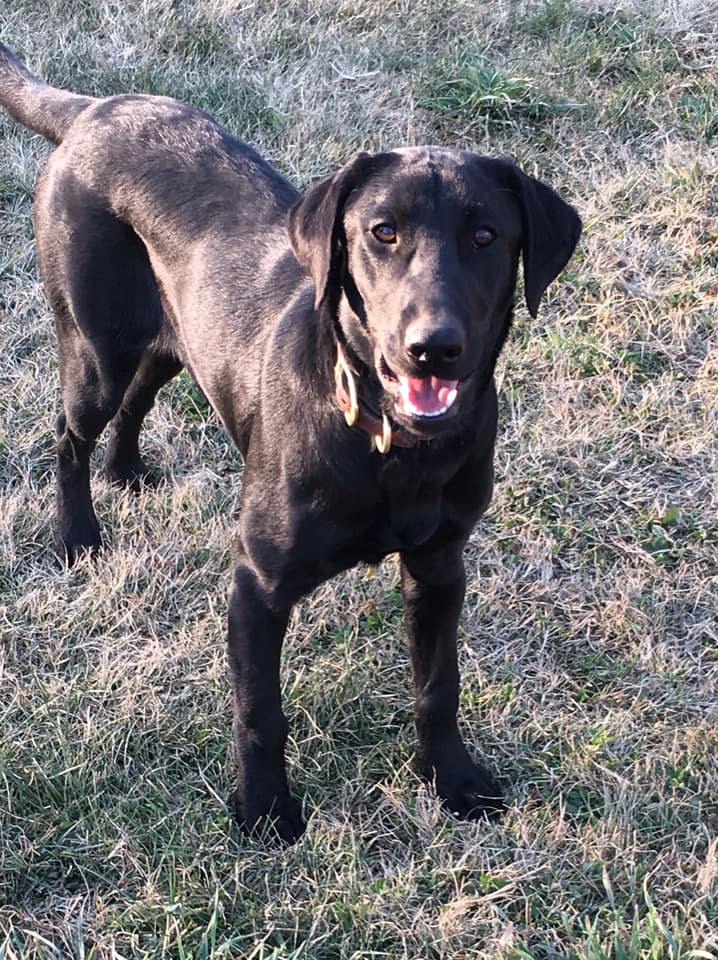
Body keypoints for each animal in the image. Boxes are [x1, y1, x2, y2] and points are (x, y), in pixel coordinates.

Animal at [0, 43, 584, 840]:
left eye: (485, 236)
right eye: (382, 231)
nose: (432, 348)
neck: (392, 448)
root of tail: (96, 108)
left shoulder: (440, 567)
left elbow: (439, 687)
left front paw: (452, 779)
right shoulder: (257, 583)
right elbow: (260, 713)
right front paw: (266, 811)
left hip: (175, 339)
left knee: (139, 398)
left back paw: (128, 472)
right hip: (97, 346)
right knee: (68, 436)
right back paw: (79, 535)